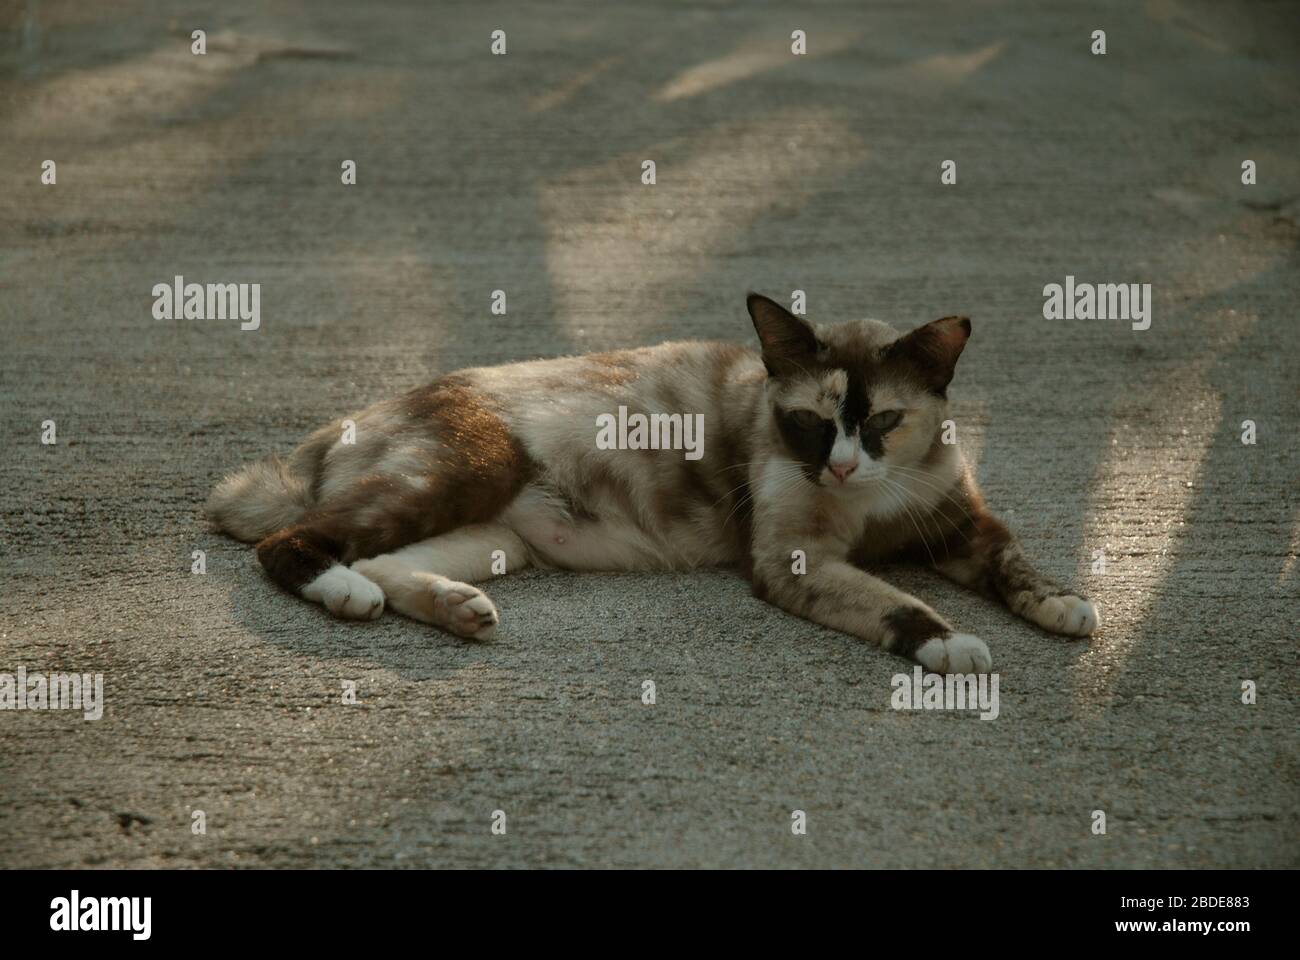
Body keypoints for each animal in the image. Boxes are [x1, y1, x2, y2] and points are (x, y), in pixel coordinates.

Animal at [205, 287, 1097, 671]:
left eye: (880, 421)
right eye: (810, 423)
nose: (840, 466)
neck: (871, 502)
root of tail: (341, 424)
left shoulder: (963, 527)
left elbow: (1016, 563)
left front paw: (1064, 605)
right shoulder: (797, 563)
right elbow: (896, 603)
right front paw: (953, 645)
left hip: (496, 538)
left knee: (387, 564)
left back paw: (459, 610)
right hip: (463, 476)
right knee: (294, 547)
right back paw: (345, 595)